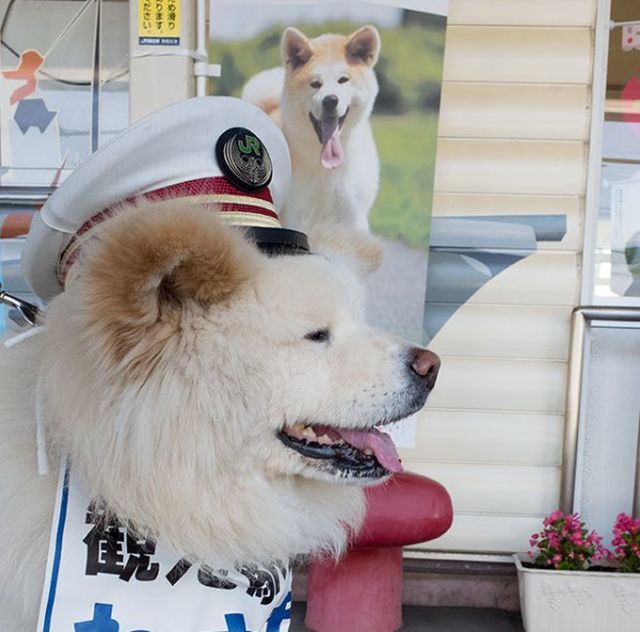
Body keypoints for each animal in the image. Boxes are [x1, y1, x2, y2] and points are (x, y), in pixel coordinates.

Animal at [240, 25, 380, 232]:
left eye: (343, 80)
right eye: (315, 84)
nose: (330, 100)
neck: (325, 166)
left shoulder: (353, 216)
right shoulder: (295, 215)